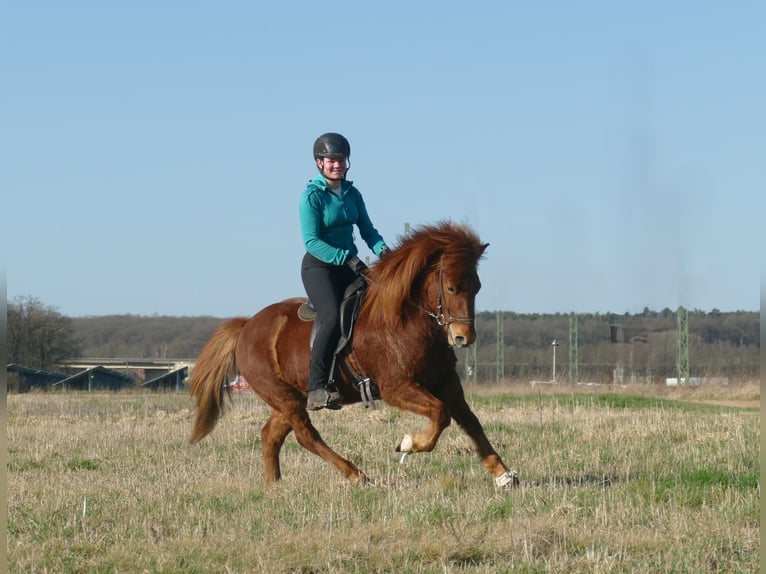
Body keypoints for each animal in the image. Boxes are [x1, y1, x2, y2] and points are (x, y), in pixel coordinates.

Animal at [189, 221, 519, 488]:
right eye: (450, 288)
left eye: (477, 286)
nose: (464, 337)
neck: (407, 320)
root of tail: (246, 326)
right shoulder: (397, 388)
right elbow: (441, 414)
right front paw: (408, 444)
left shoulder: (446, 382)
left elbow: (470, 421)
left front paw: (503, 474)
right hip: (283, 396)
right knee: (306, 436)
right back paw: (356, 475)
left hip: (290, 397)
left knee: (271, 434)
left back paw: (274, 486)